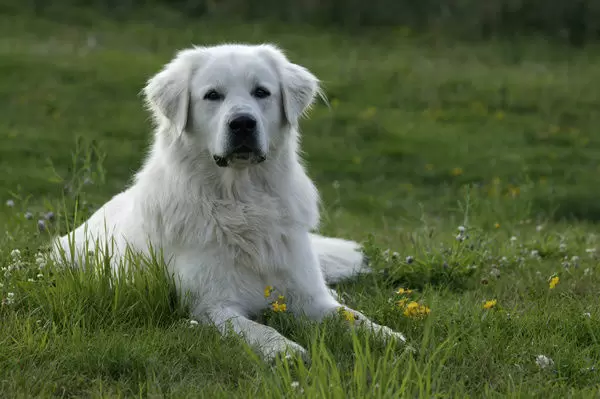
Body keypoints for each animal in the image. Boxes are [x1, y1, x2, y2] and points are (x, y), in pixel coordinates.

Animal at [52, 43, 408, 362]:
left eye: (261, 92)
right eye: (213, 95)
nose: (243, 123)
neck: (242, 201)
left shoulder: (310, 297)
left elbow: (352, 316)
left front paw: (389, 337)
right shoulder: (213, 305)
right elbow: (256, 329)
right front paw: (284, 351)